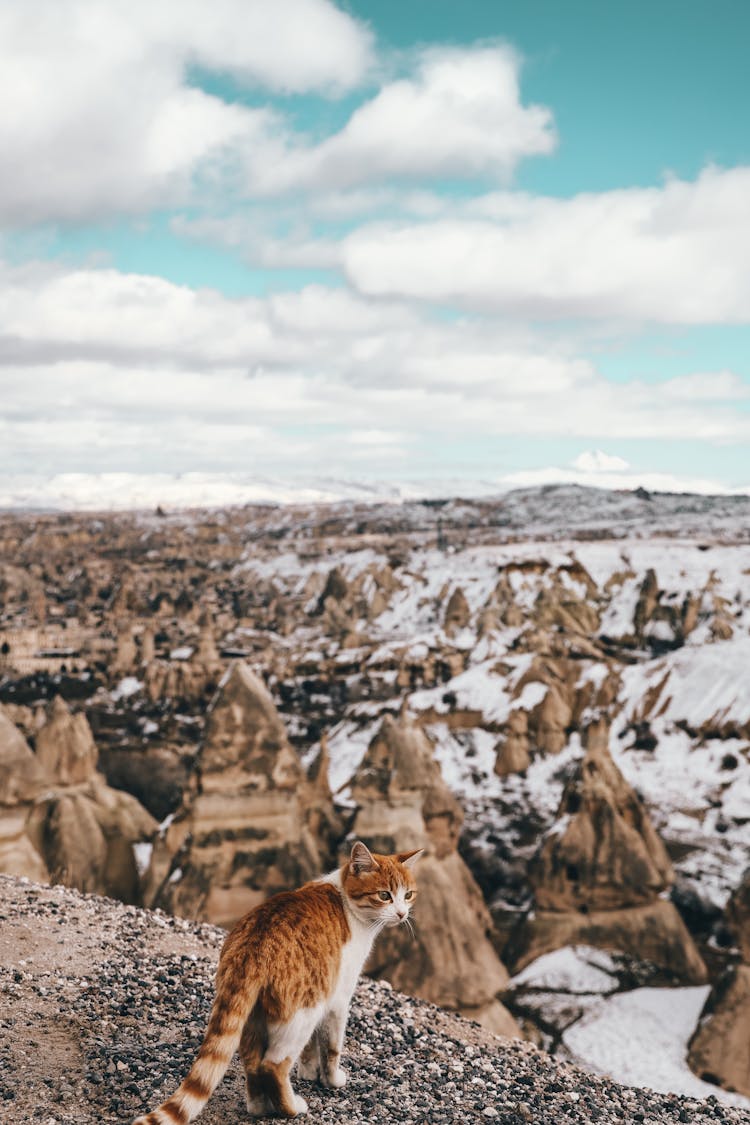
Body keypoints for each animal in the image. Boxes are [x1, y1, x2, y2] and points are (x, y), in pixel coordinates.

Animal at [134, 841, 422, 1120]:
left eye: (408, 895)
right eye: (384, 895)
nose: (401, 914)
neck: (347, 904)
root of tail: (254, 943)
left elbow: (310, 1048)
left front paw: (308, 1072)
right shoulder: (337, 1000)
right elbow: (331, 1048)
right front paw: (331, 1080)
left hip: (254, 1017)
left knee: (253, 1064)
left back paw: (261, 1107)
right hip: (302, 1013)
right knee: (272, 1066)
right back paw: (291, 1108)